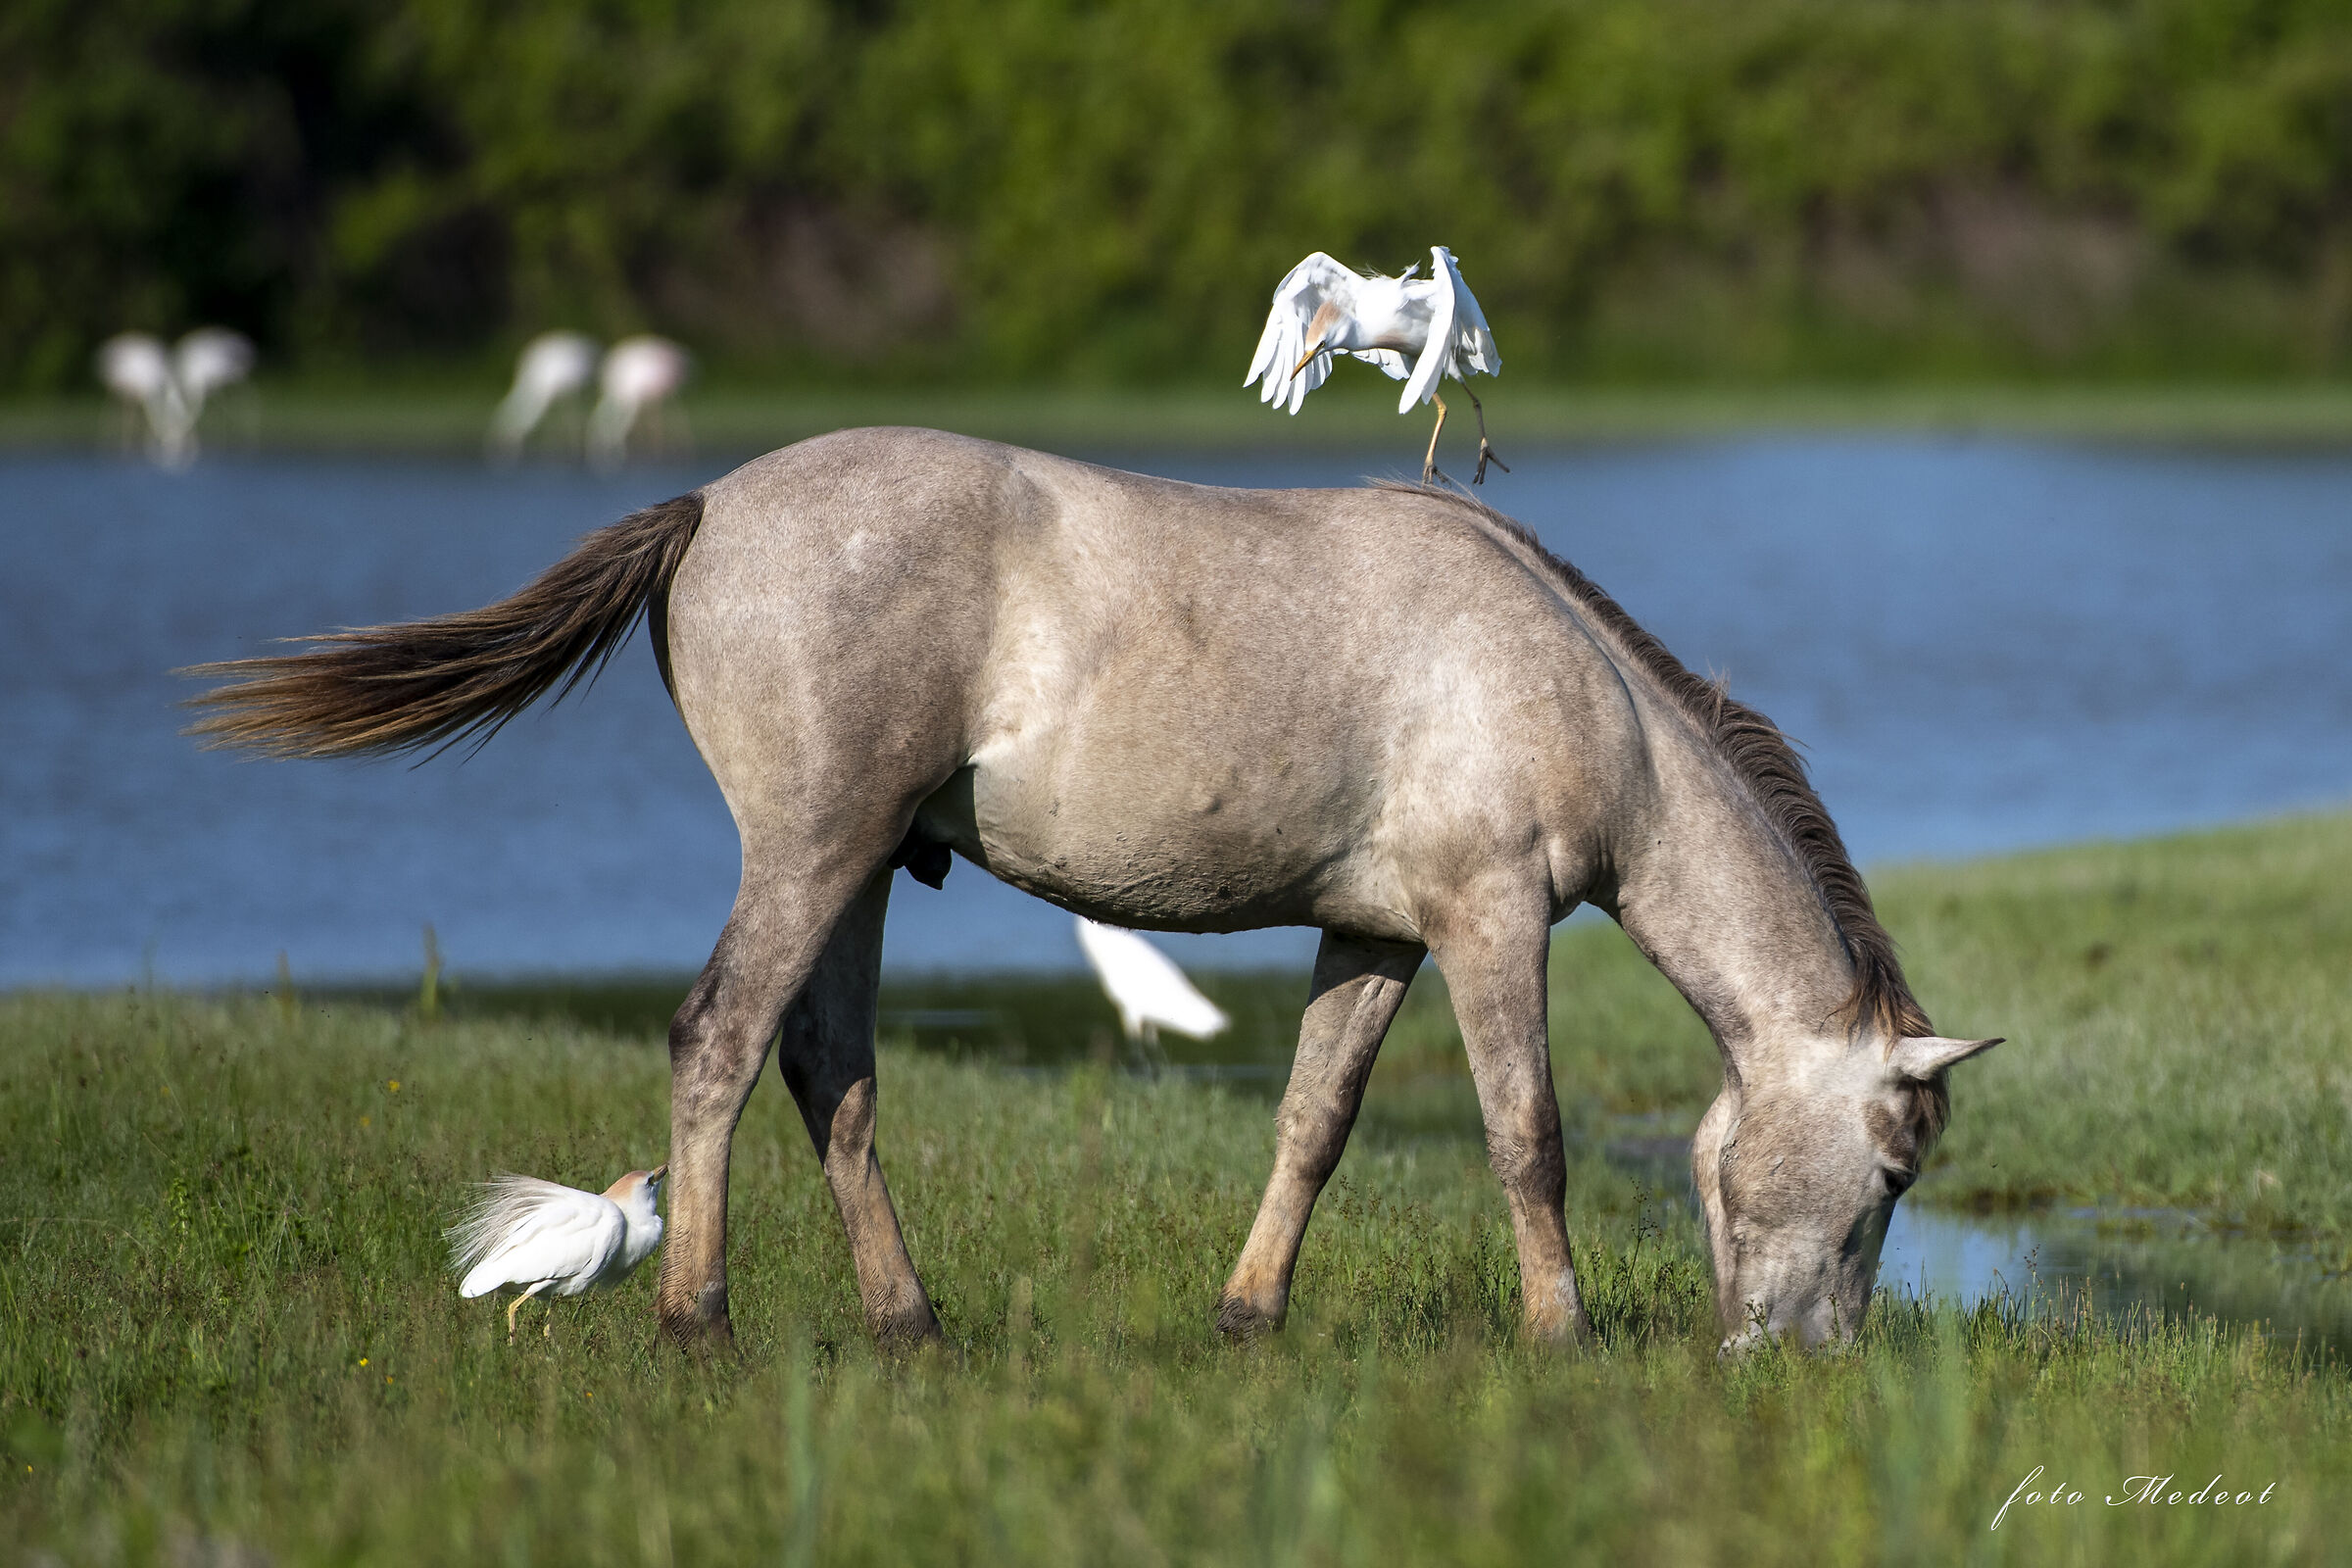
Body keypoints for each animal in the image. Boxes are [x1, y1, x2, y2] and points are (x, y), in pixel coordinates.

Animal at [188, 427, 2000, 1353]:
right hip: (812, 853)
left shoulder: (1374, 936)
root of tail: (708, 504)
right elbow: (1527, 1136)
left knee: (831, 1074)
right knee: (719, 1043)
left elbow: (1312, 1124)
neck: (1577, 690)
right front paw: (1558, 1341)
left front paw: (1250, 1316)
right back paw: (699, 1319)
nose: (1803, 1361)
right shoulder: (1486, 923)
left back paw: (910, 1325)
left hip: (861, 872)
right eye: (1888, 1179)